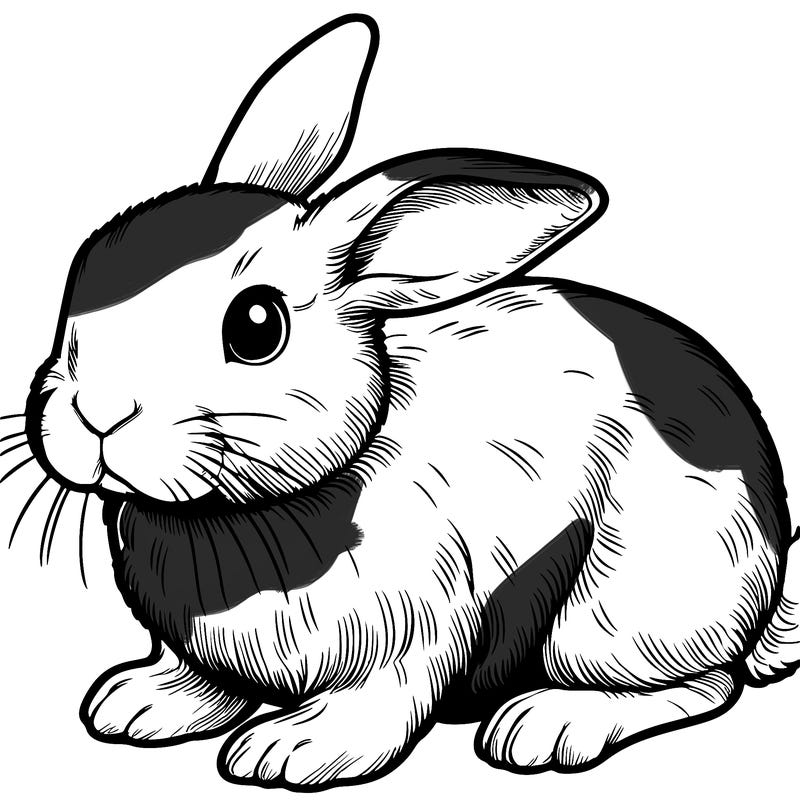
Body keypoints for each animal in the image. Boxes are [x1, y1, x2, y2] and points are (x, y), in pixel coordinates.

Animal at [10, 11, 800, 791]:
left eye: (256, 326)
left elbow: (379, 704)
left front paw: (291, 750)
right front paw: (138, 704)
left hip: (620, 615)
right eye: (82, 273)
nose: (96, 413)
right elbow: (203, 681)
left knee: (703, 685)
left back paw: (546, 725)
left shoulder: (412, 632)